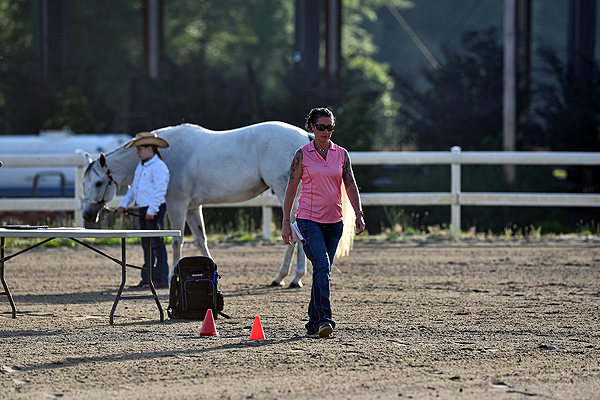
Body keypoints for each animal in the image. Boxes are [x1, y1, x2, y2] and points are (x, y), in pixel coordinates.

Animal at [81, 122, 311, 288]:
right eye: (84, 183)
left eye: (98, 183)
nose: (87, 215)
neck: (165, 155)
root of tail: (305, 137)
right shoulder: (192, 208)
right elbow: (201, 240)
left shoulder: (177, 205)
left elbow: (176, 241)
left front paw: (172, 275)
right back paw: (286, 277)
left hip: (283, 191)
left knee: (294, 232)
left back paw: (291, 277)